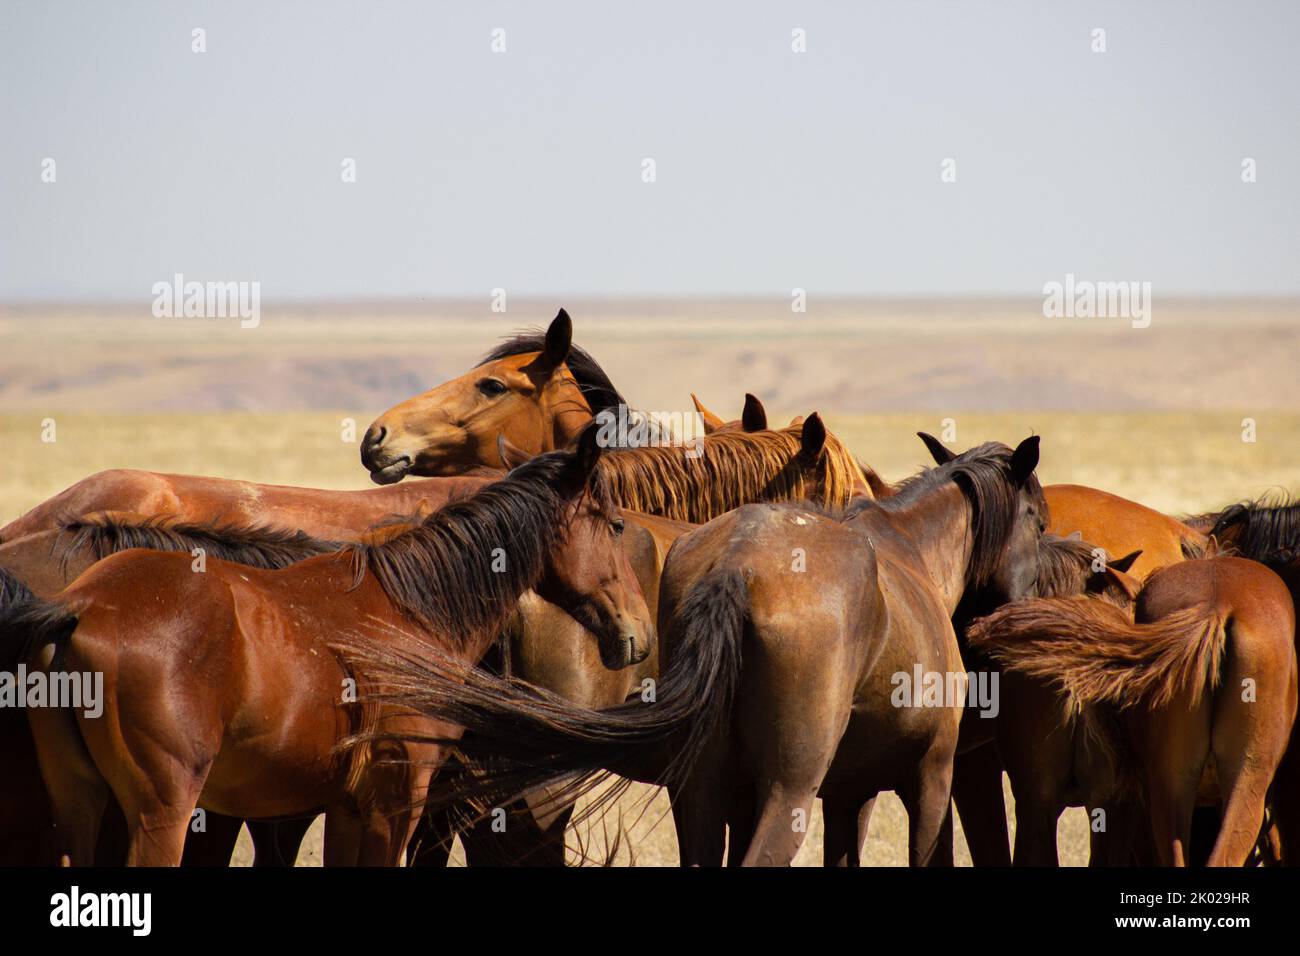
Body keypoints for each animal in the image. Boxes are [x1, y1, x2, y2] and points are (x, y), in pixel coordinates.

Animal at [0, 430, 653, 866]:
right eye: (616, 524)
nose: (639, 634)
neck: (414, 612)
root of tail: (83, 606)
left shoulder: (344, 807)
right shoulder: (397, 804)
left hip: (79, 809)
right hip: (161, 815)